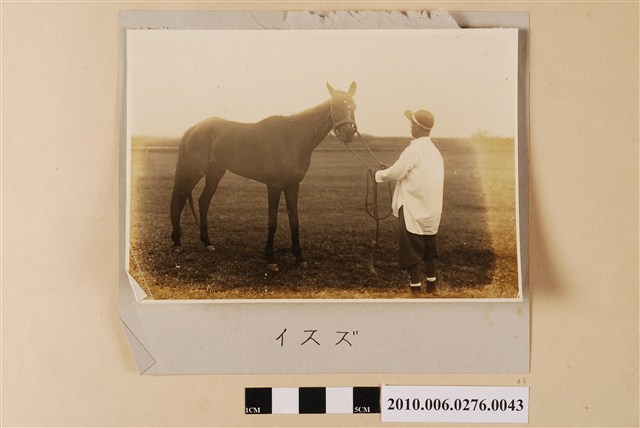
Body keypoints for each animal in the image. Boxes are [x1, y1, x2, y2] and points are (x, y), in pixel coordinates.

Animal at [170, 82, 358, 271]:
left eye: (354, 106)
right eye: (335, 106)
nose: (349, 133)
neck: (293, 138)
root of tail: (193, 129)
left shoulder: (293, 186)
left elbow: (294, 221)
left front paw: (299, 257)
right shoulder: (274, 186)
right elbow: (272, 222)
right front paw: (271, 259)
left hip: (215, 173)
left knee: (203, 202)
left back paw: (207, 243)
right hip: (193, 172)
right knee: (180, 201)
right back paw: (177, 243)